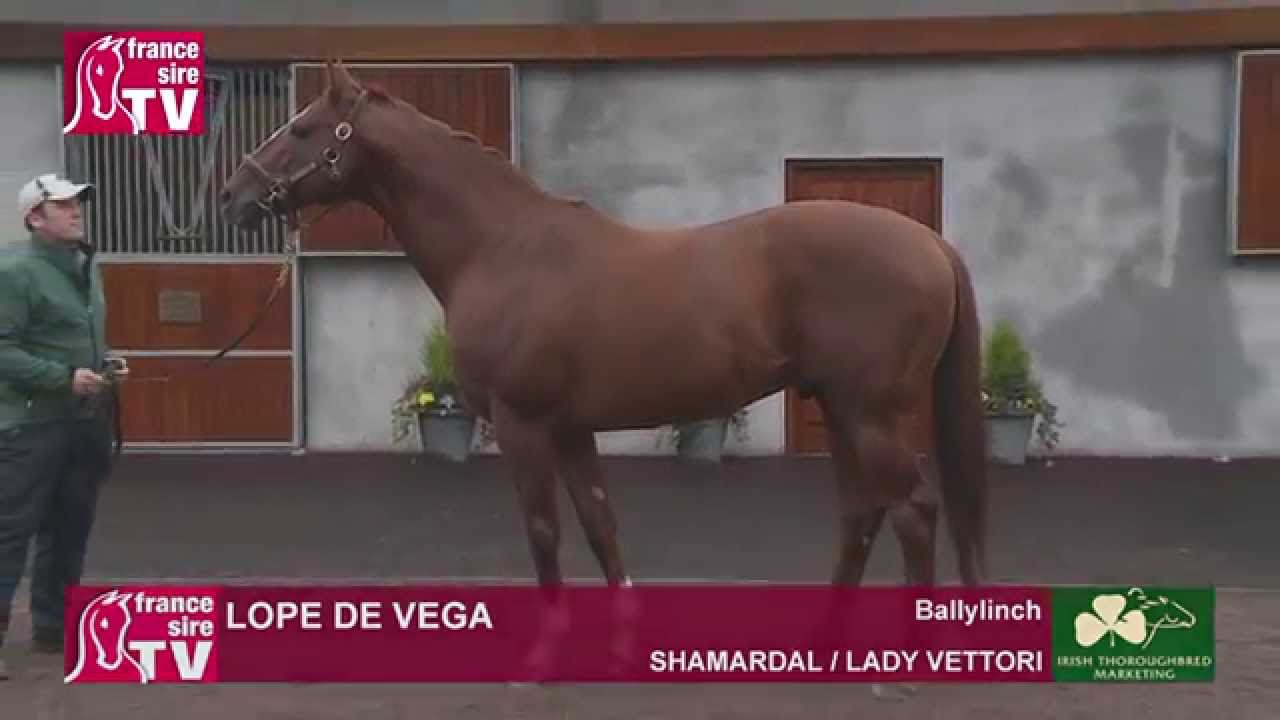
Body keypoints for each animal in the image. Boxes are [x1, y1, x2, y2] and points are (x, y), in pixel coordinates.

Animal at [219, 59, 987, 601]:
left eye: (301, 130)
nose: (231, 193)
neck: (502, 246)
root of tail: (928, 243)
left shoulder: (524, 424)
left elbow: (544, 534)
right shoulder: (569, 428)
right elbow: (599, 528)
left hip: (870, 412)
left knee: (914, 511)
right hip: (840, 408)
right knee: (862, 513)